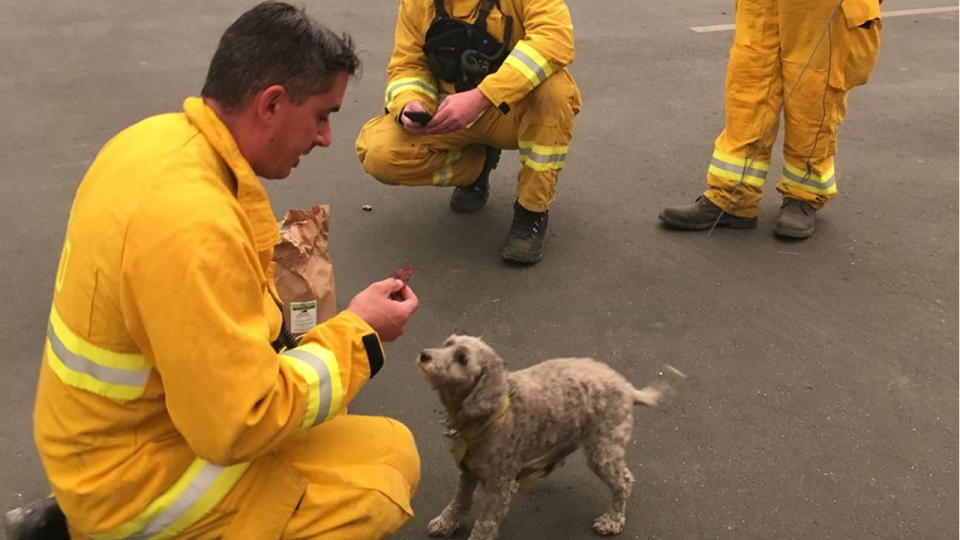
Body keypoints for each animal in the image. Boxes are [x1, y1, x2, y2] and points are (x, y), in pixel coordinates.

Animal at [420, 336, 684, 536]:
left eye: (462, 359)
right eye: (447, 343)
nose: (424, 355)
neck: (488, 415)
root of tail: (627, 387)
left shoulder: (499, 486)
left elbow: (485, 524)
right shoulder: (468, 470)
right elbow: (460, 500)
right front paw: (446, 522)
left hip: (604, 448)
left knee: (624, 481)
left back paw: (613, 519)